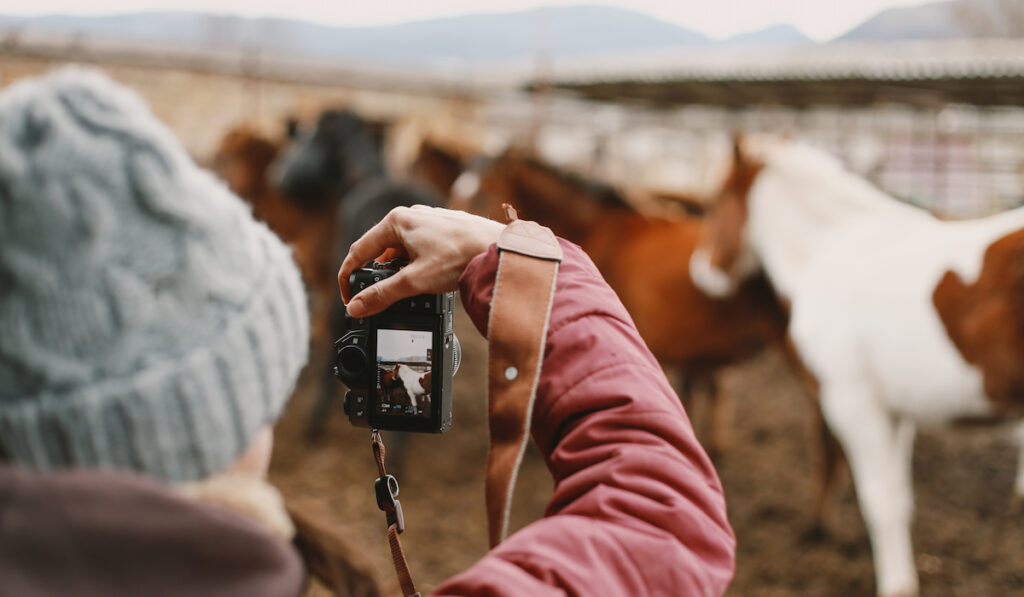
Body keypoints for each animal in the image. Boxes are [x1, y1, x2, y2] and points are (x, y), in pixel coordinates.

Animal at [688, 136, 1024, 597]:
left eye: (715, 202)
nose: (700, 271)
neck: (826, 250)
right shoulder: (896, 408)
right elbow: (900, 495)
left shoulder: (853, 402)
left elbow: (881, 501)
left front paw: (897, 584)